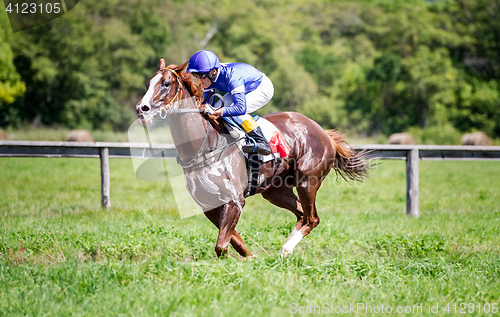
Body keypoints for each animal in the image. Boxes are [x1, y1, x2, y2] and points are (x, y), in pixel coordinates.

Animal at [135, 58, 370, 258]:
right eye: (148, 83)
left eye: (166, 83)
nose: (141, 109)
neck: (205, 145)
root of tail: (324, 133)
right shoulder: (208, 205)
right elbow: (234, 242)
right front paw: (250, 258)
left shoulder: (235, 201)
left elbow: (222, 245)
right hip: (276, 191)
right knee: (302, 215)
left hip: (307, 182)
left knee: (312, 218)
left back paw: (286, 249)